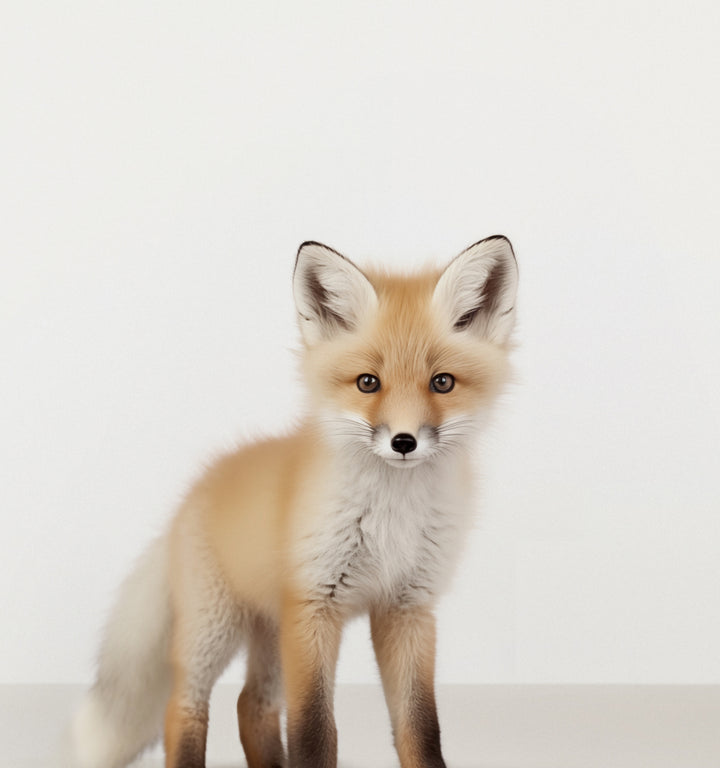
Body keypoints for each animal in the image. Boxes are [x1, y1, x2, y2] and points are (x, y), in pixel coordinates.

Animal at [68, 235, 519, 768]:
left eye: (442, 382)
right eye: (368, 382)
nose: (403, 442)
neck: (390, 519)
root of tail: (196, 489)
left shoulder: (407, 608)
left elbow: (420, 729)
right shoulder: (314, 605)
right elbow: (313, 732)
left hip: (273, 635)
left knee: (251, 705)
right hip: (216, 627)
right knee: (183, 707)